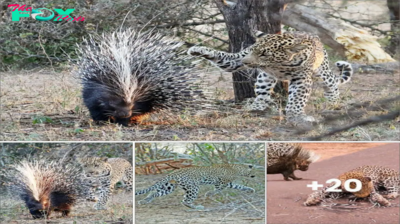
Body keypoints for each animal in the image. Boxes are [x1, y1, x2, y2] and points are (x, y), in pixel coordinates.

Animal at [188, 30, 354, 122]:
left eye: (264, 54)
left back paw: (333, 103)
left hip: (322, 71)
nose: (245, 62)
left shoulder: (302, 78)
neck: (278, 64)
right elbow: (224, 56)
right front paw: (198, 50)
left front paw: (296, 115)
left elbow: (297, 99)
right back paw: (255, 108)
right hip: (264, 78)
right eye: (251, 50)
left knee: (332, 84)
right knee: (262, 95)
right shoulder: (236, 59)